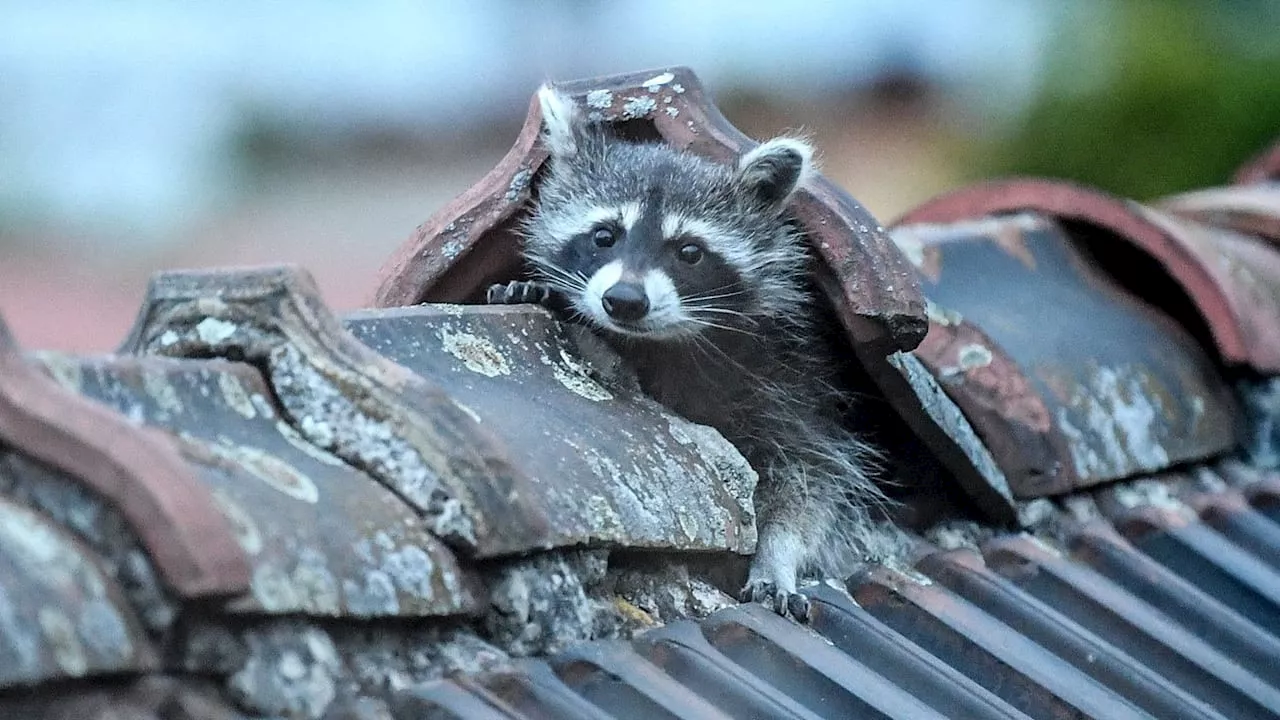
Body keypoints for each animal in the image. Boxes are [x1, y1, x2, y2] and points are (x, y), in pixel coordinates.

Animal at [486, 88, 901, 617]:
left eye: (689, 252)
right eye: (604, 236)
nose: (624, 300)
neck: (662, 341)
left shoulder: (795, 379)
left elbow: (810, 481)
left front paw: (776, 555)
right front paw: (536, 290)